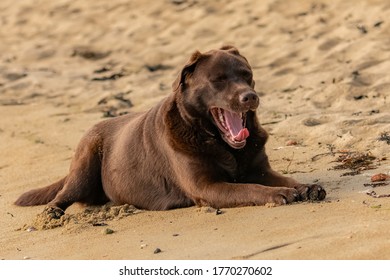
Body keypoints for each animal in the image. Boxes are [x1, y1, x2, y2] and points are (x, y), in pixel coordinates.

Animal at [14, 45, 326, 214]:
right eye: (218, 79)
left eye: (246, 75)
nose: (250, 97)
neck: (217, 142)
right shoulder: (207, 187)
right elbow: (251, 188)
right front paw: (278, 194)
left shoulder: (259, 169)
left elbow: (283, 179)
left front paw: (305, 187)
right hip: (84, 164)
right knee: (63, 195)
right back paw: (52, 213)